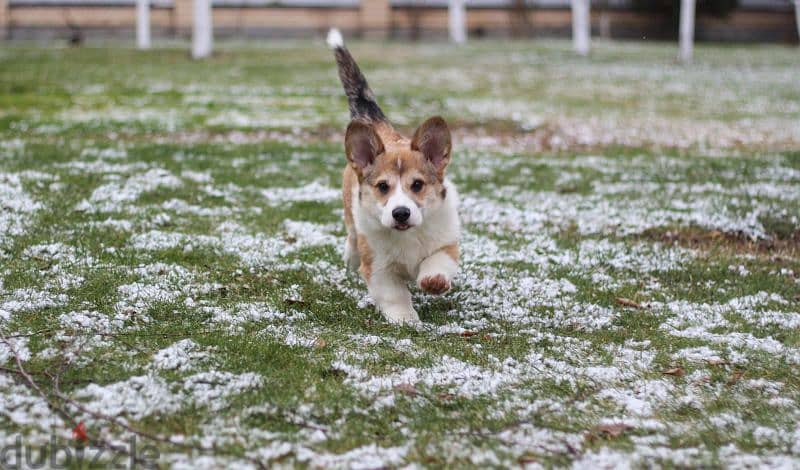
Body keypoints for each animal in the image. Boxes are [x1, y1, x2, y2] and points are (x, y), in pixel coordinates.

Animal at [326, 27, 462, 324]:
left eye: (417, 185)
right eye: (382, 186)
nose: (401, 213)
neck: (406, 235)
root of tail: (378, 125)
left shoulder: (447, 242)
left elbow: (438, 261)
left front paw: (433, 281)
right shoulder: (379, 268)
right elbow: (393, 294)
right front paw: (405, 319)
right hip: (351, 216)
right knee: (352, 237)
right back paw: (351, 256)